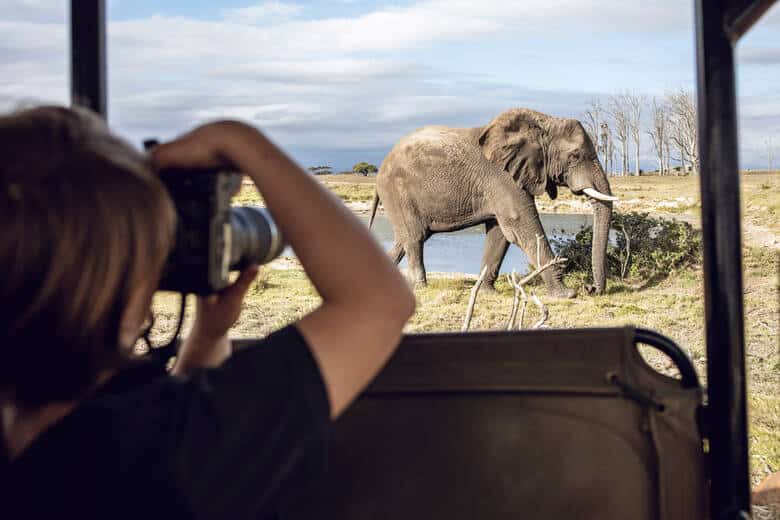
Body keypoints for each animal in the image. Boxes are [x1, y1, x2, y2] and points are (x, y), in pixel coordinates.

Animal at [368, 106, 620, 296]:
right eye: (575, 156)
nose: (590, 288)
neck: (543, 122)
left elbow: (500, 233)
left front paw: (486, 292)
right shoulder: (502, 178)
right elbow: (520, 225)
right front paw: (566, 294)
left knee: (405, 239)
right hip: (398, 192)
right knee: (415, 238)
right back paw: (421, 287)